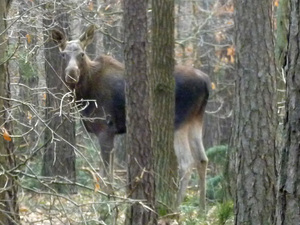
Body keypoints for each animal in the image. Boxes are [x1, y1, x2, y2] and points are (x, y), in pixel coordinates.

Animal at [51, 25, 210, 209]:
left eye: (82, 54)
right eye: (63, 54)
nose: (71, 73)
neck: (84, 95)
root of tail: (206, 82)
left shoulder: (105, 129)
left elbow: (105, 177)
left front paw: (107, 207)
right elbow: (107, 174)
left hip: (179, 121)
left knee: (187, 162)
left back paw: (174, 208)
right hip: (196, 119)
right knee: (202, 159)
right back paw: (202, 209)